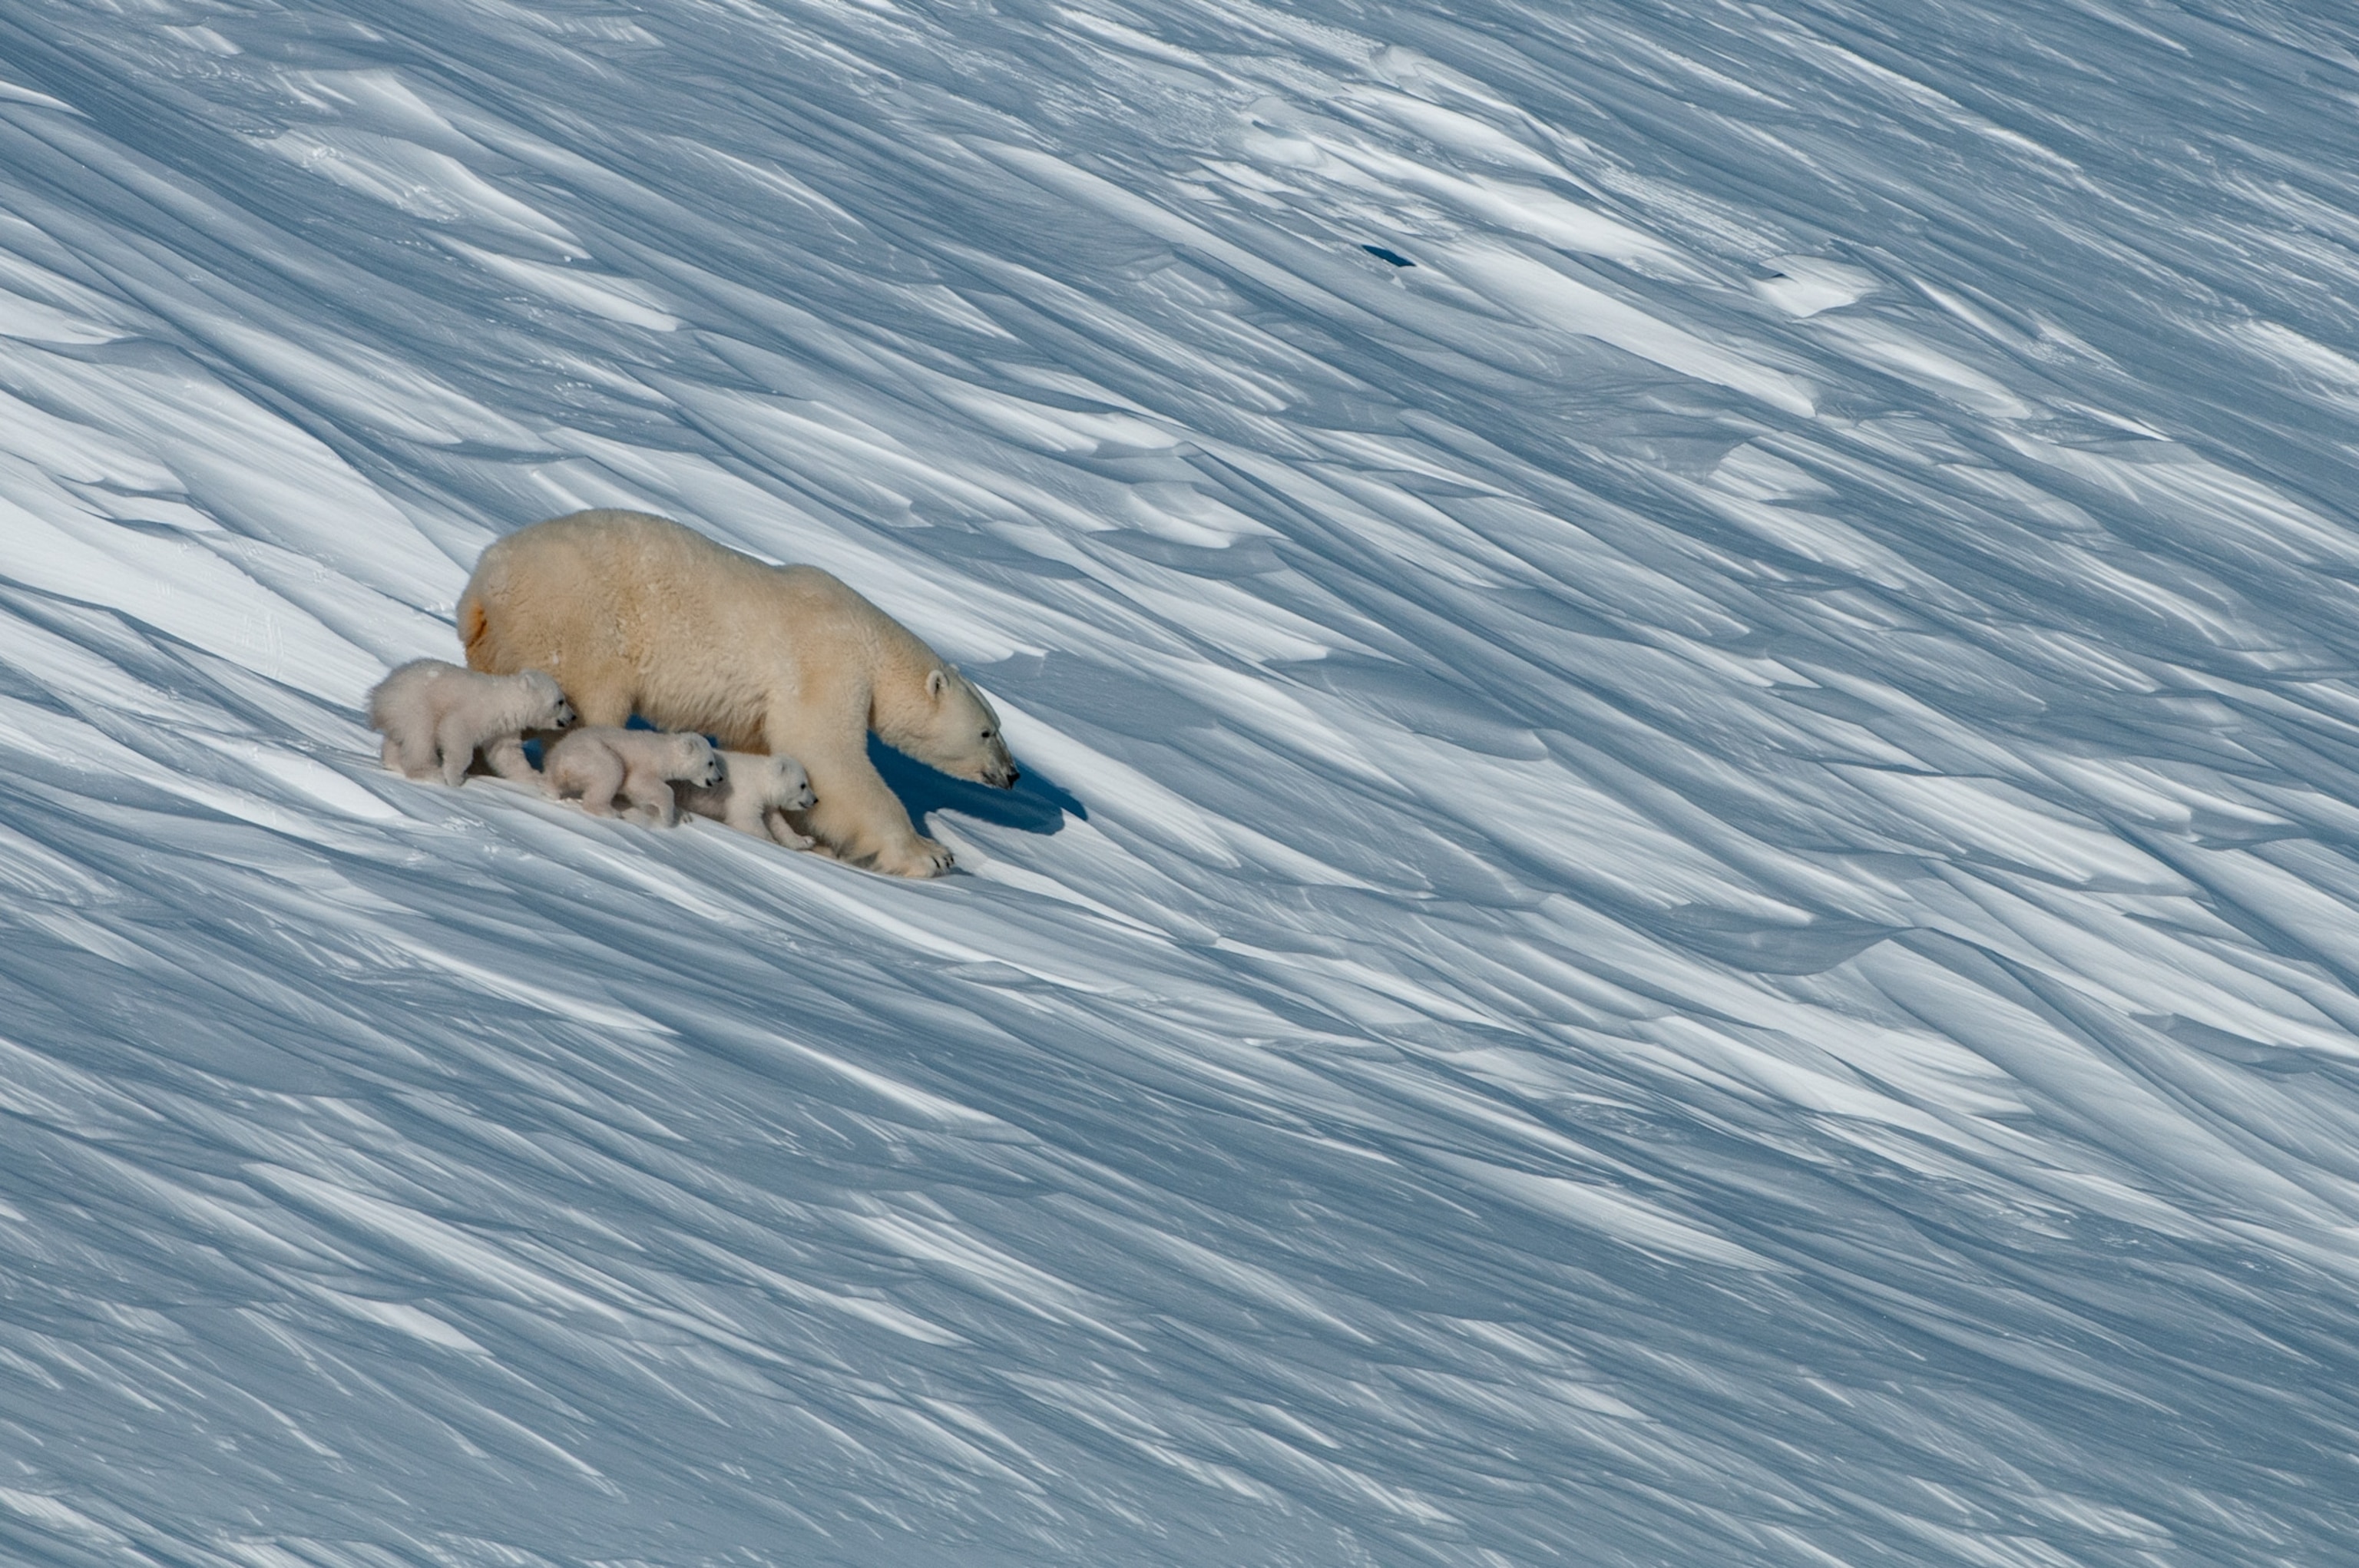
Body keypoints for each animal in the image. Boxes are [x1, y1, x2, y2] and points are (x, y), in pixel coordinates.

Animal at [367, 658, 576, 788]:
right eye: (560, 701)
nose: (573, 716)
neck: (506, 699)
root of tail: (380, 692)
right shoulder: (476, 711)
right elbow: (455, 730)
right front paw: (454, 777)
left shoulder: (502, 729)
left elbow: (506, 754)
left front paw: (534, 777)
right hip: (414, 704)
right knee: (420, 737)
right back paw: (429, 773)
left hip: (399, 712)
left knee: (397, 738)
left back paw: (393, 763)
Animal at [677, 750, 820, 848]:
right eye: (803, 785)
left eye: (807, 782)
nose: (815, 800)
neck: (760, 780)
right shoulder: (746, 792)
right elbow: (746, 820)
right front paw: (773, 841)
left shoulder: (766, 804)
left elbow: (778, 824)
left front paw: (806, 840)